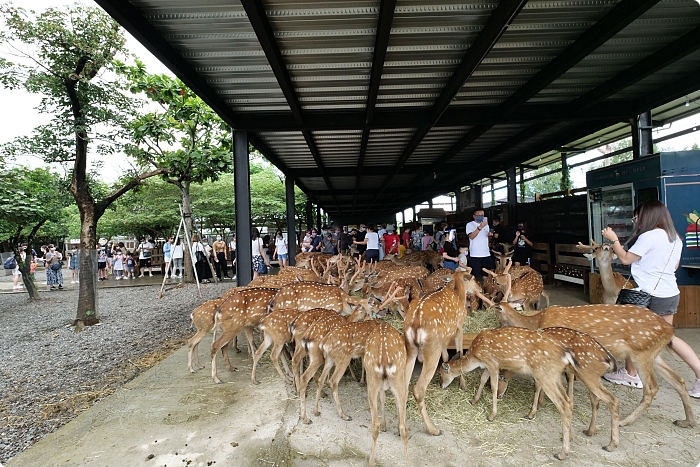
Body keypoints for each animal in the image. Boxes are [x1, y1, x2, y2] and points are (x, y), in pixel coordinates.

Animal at [366, 324, 410, 467]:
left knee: (375, 424)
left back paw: (371, 462)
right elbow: (386, 398)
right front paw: (387, 425)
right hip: (397, 378)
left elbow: (383, 398)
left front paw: (385, 425)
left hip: (372, 380)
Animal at [440, 328, 576, 462]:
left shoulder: (493, 363)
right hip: (554, 376)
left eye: (441, 374)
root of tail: (566, 356)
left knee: (563, 404)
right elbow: (482, 379)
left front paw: (491, 415)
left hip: (544, 373)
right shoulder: (487, 366)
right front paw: (474, 400)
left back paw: (562, 453)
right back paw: (568, 438)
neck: (475, 357)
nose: (441, 385)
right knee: (568, 401)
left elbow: (493, 387)